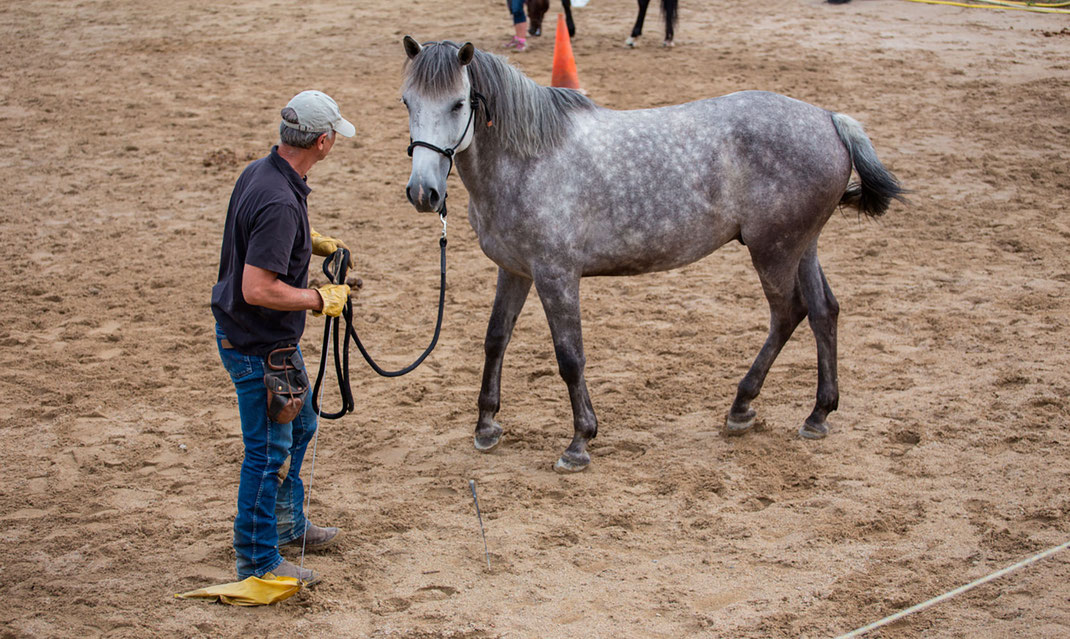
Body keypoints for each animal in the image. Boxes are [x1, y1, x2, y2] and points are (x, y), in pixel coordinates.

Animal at [402, 37, 903, 470]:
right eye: (407, 102)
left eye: (458, 104)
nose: (423, 193)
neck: (529, 159)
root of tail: (830, 119)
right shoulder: (515, 271)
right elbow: (495, 339)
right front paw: (486, 426)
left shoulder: (556, 275)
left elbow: (569, 357)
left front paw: (579, 442)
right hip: (803, 248)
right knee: (824, 311)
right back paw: (817, 414)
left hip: (773, 251)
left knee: (788, 314)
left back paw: (742, 407)